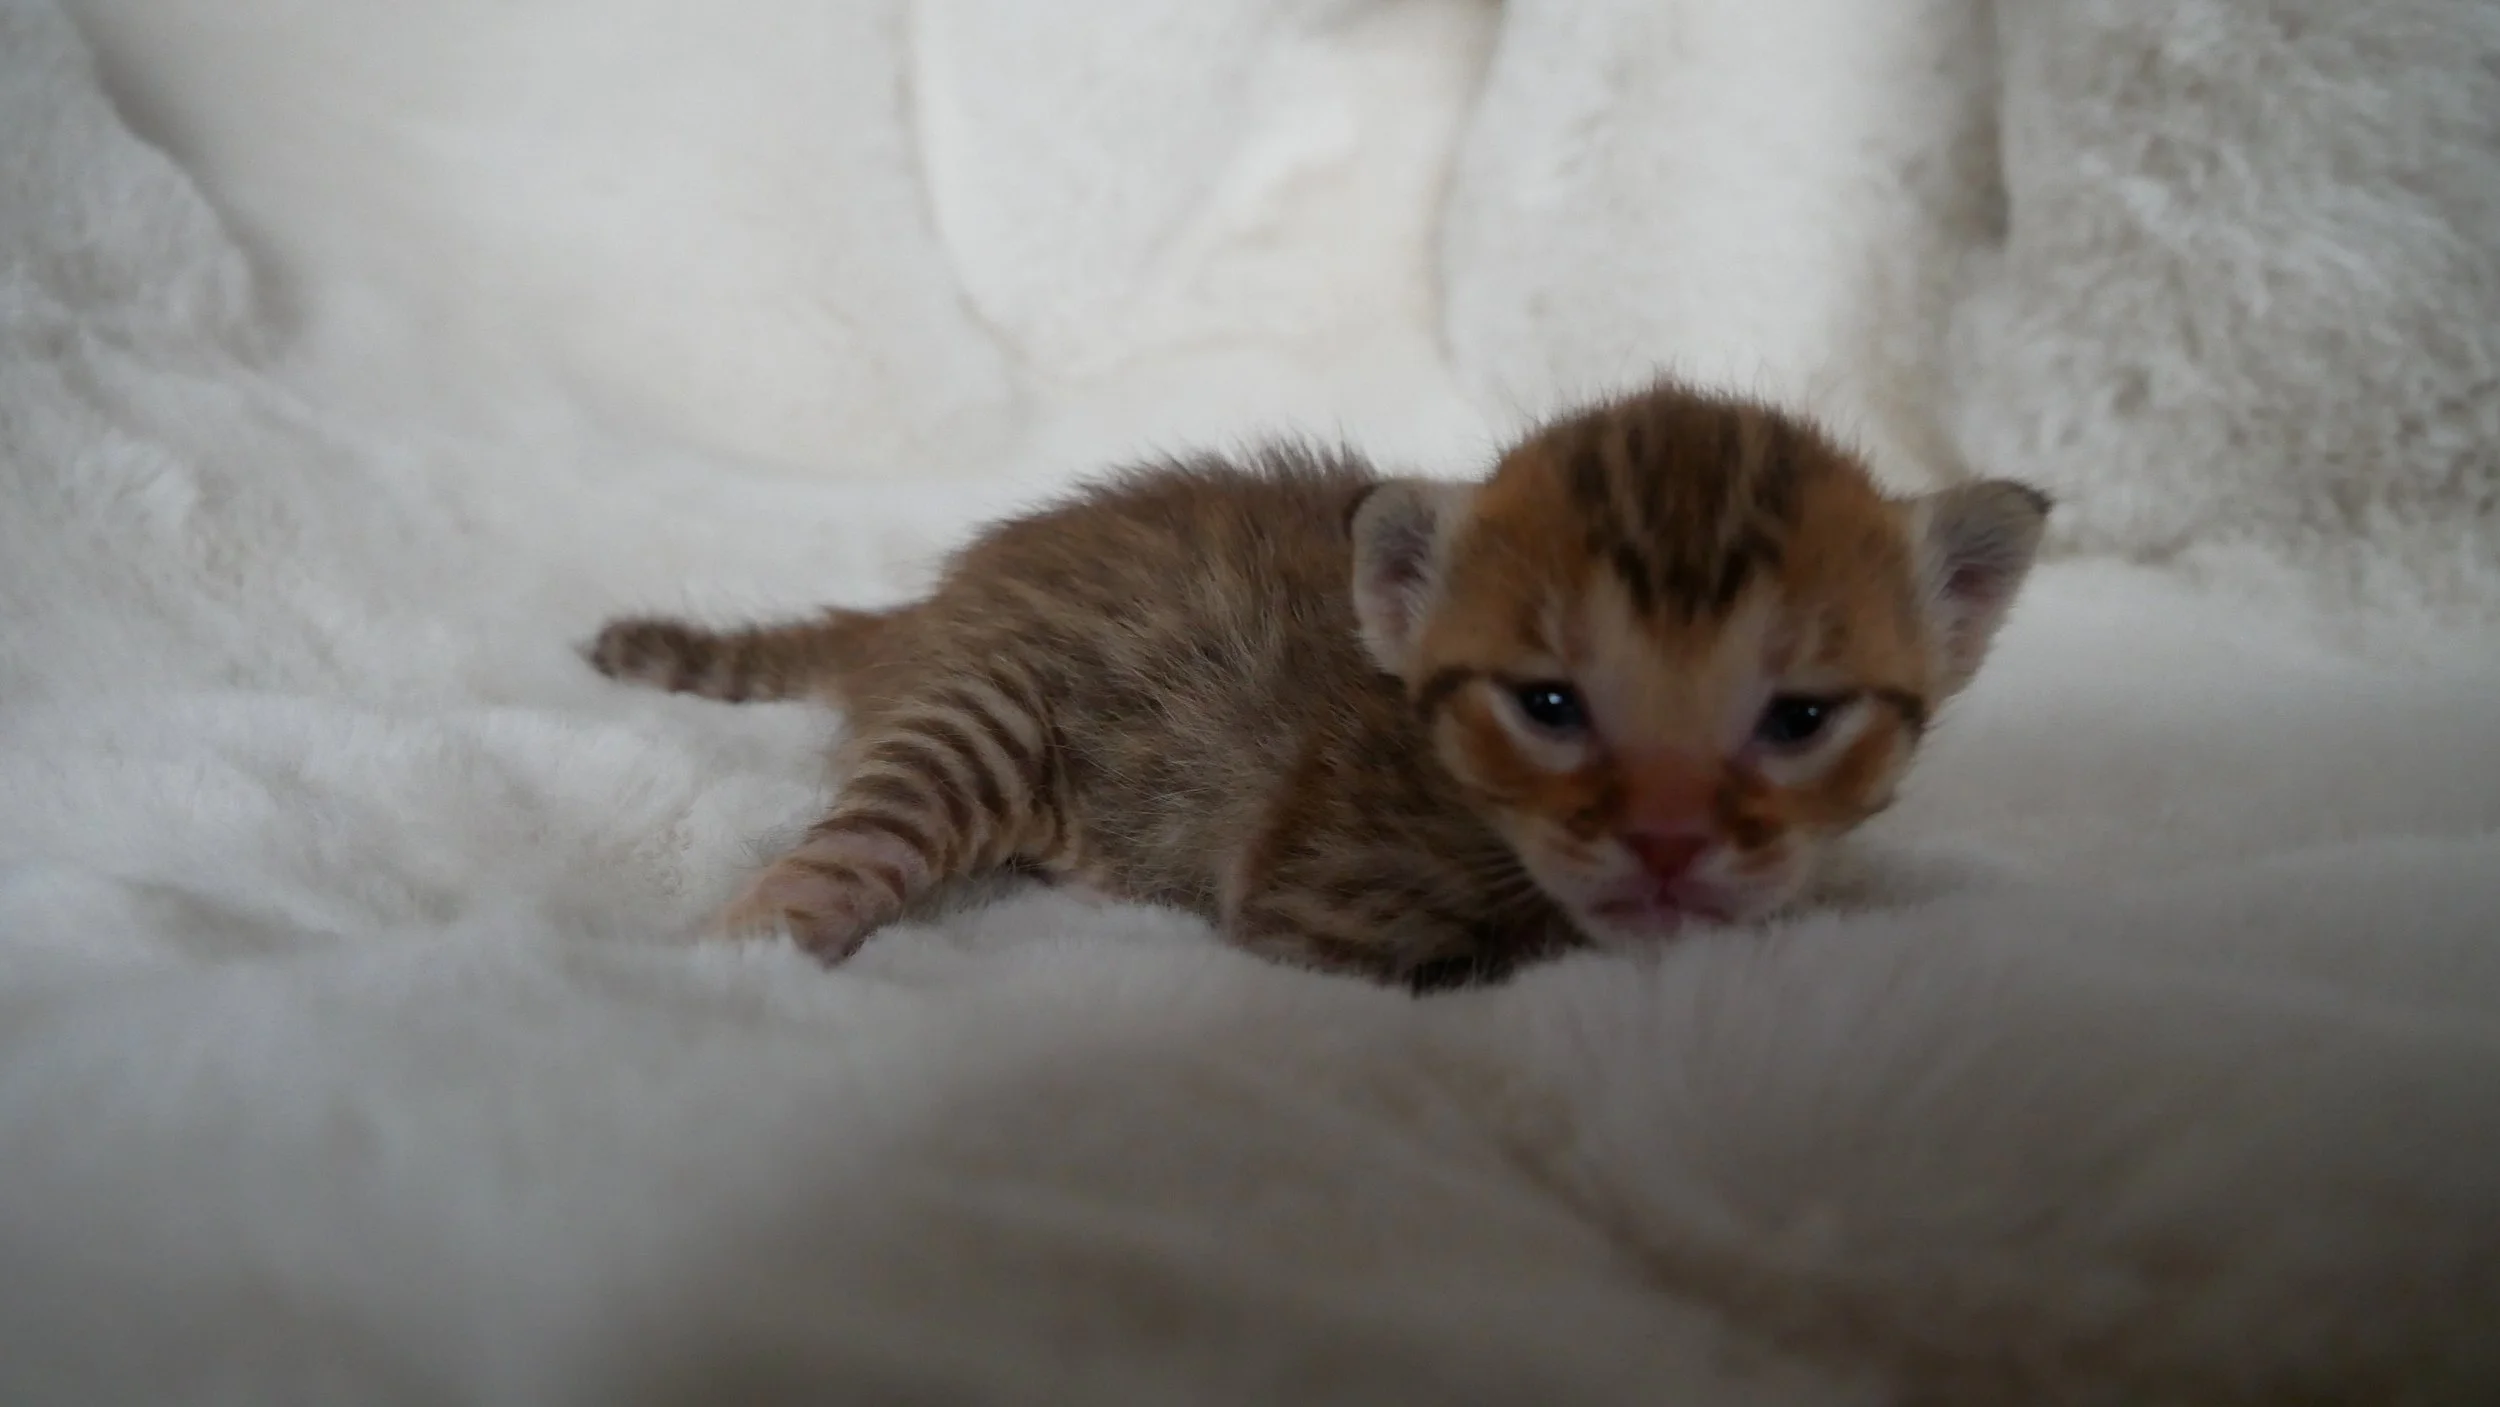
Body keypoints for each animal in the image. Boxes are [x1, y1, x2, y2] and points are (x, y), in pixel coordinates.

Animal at [589, 379, 2049, 990]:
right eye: (1550, 707)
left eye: (1800, 718)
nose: (1671, 842)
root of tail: (939, 596)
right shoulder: (1318, 897)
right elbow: (1515, 949)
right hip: (979, 719)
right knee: (837, 859)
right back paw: (736, 957)